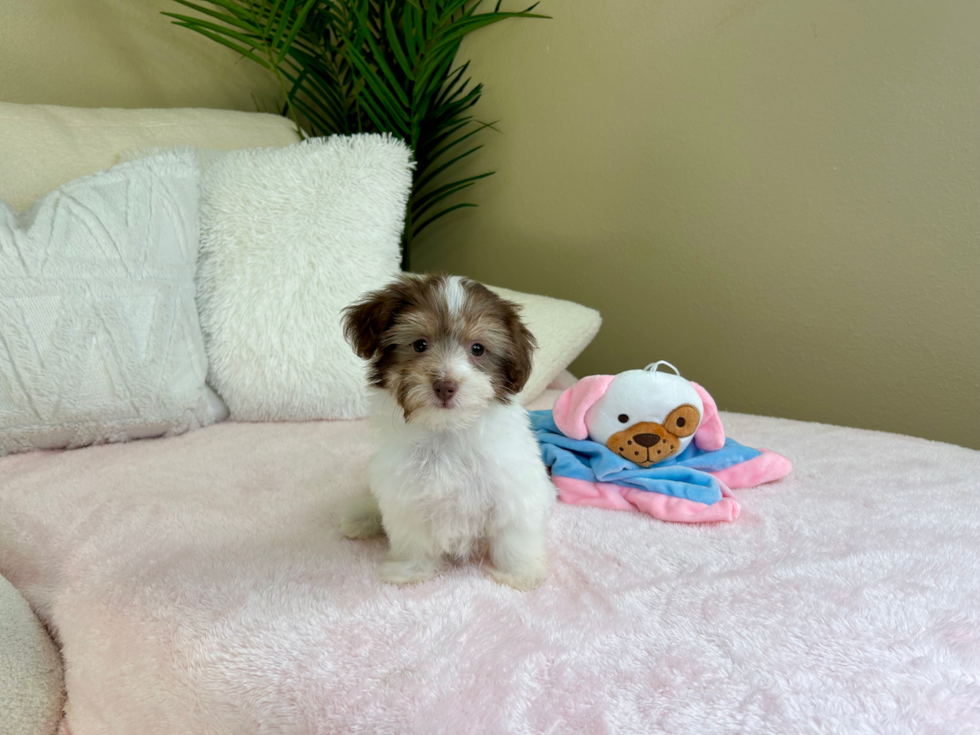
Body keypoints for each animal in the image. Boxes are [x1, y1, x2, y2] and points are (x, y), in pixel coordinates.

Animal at [336, 274, 556, 588]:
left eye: (478, 349)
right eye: (419, 345)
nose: (445, 385)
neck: (446, 432)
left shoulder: (513, 487)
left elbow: (514, 534)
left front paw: (519, 573)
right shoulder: (406, 494)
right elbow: (412, 537)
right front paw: (410, 571)